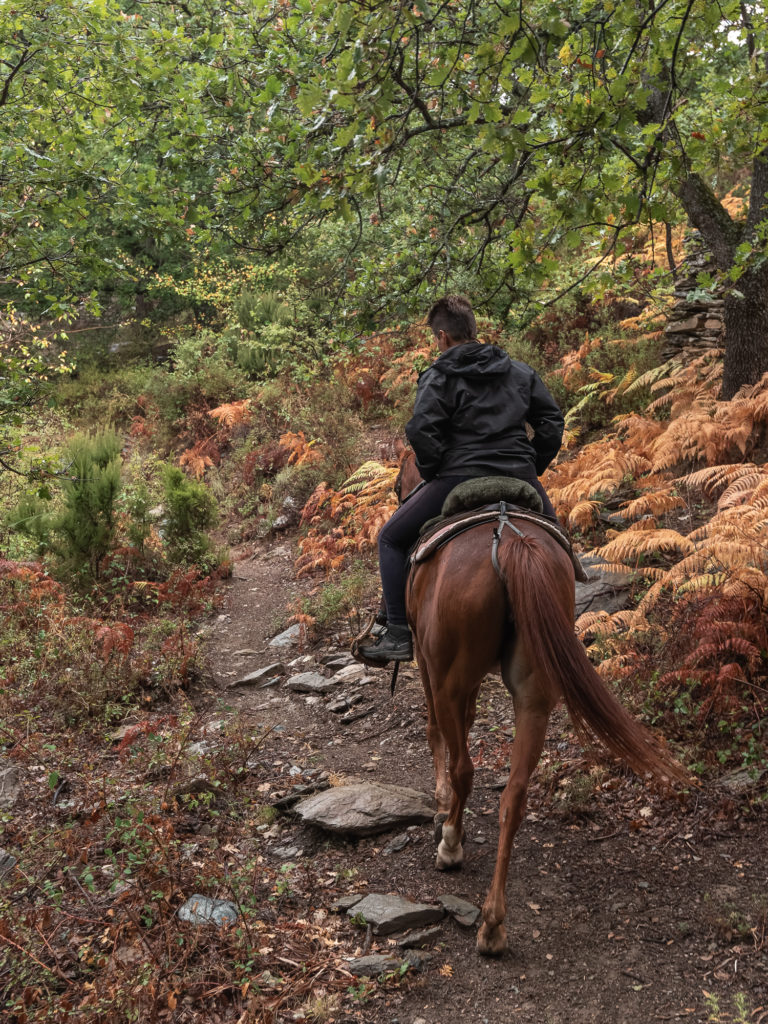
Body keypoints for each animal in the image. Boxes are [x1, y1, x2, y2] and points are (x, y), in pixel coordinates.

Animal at [397, 452, 684, 954]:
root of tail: (510, 538)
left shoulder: (430, 666)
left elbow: (438, 732)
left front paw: (440, 804)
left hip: (454, 676)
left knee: (466, 768)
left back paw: (451, 844)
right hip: (533, 694)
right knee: (514, 794)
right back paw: (493, 923)